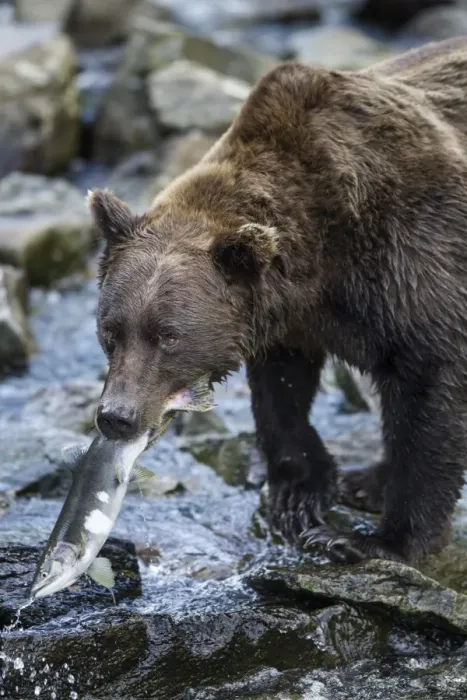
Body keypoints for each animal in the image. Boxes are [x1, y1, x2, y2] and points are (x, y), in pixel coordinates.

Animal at [90, 36, 467, 566]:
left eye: (168, 336)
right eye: (110, 332)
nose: (117, 417)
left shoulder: (415, 258)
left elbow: (431, 385)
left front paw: (369, 539)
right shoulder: (289, 316)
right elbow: (281, 389)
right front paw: (301, 496)